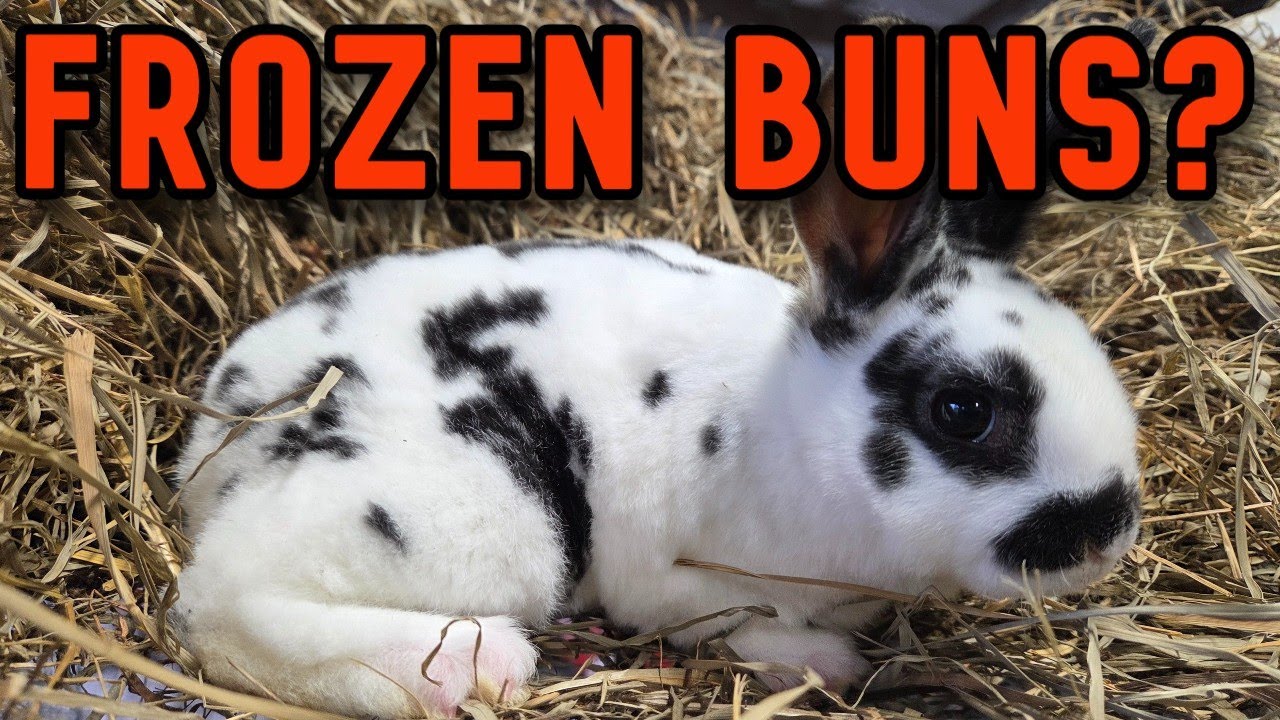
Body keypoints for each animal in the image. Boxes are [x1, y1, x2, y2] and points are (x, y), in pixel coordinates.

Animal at [171, 74, 1141, 718]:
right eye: (963, 410)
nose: (1110, 530)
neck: (777, 424)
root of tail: (211, 440)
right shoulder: (679, 583)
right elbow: (731, 624)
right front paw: (822, 660)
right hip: (487, 512)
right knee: (221, 604)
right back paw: (469, 667)